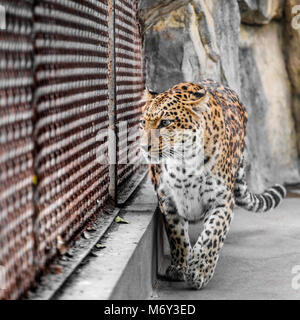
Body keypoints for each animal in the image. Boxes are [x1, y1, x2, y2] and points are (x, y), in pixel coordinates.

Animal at [139, 78, 288, 290]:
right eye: (143, 123)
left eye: (166, 122)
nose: (144, 147)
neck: (183, 166)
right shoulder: (168, 202)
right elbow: (177, 235)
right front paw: (179, 267)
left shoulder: (222, 201)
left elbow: (212, 235)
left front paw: (199, 271)